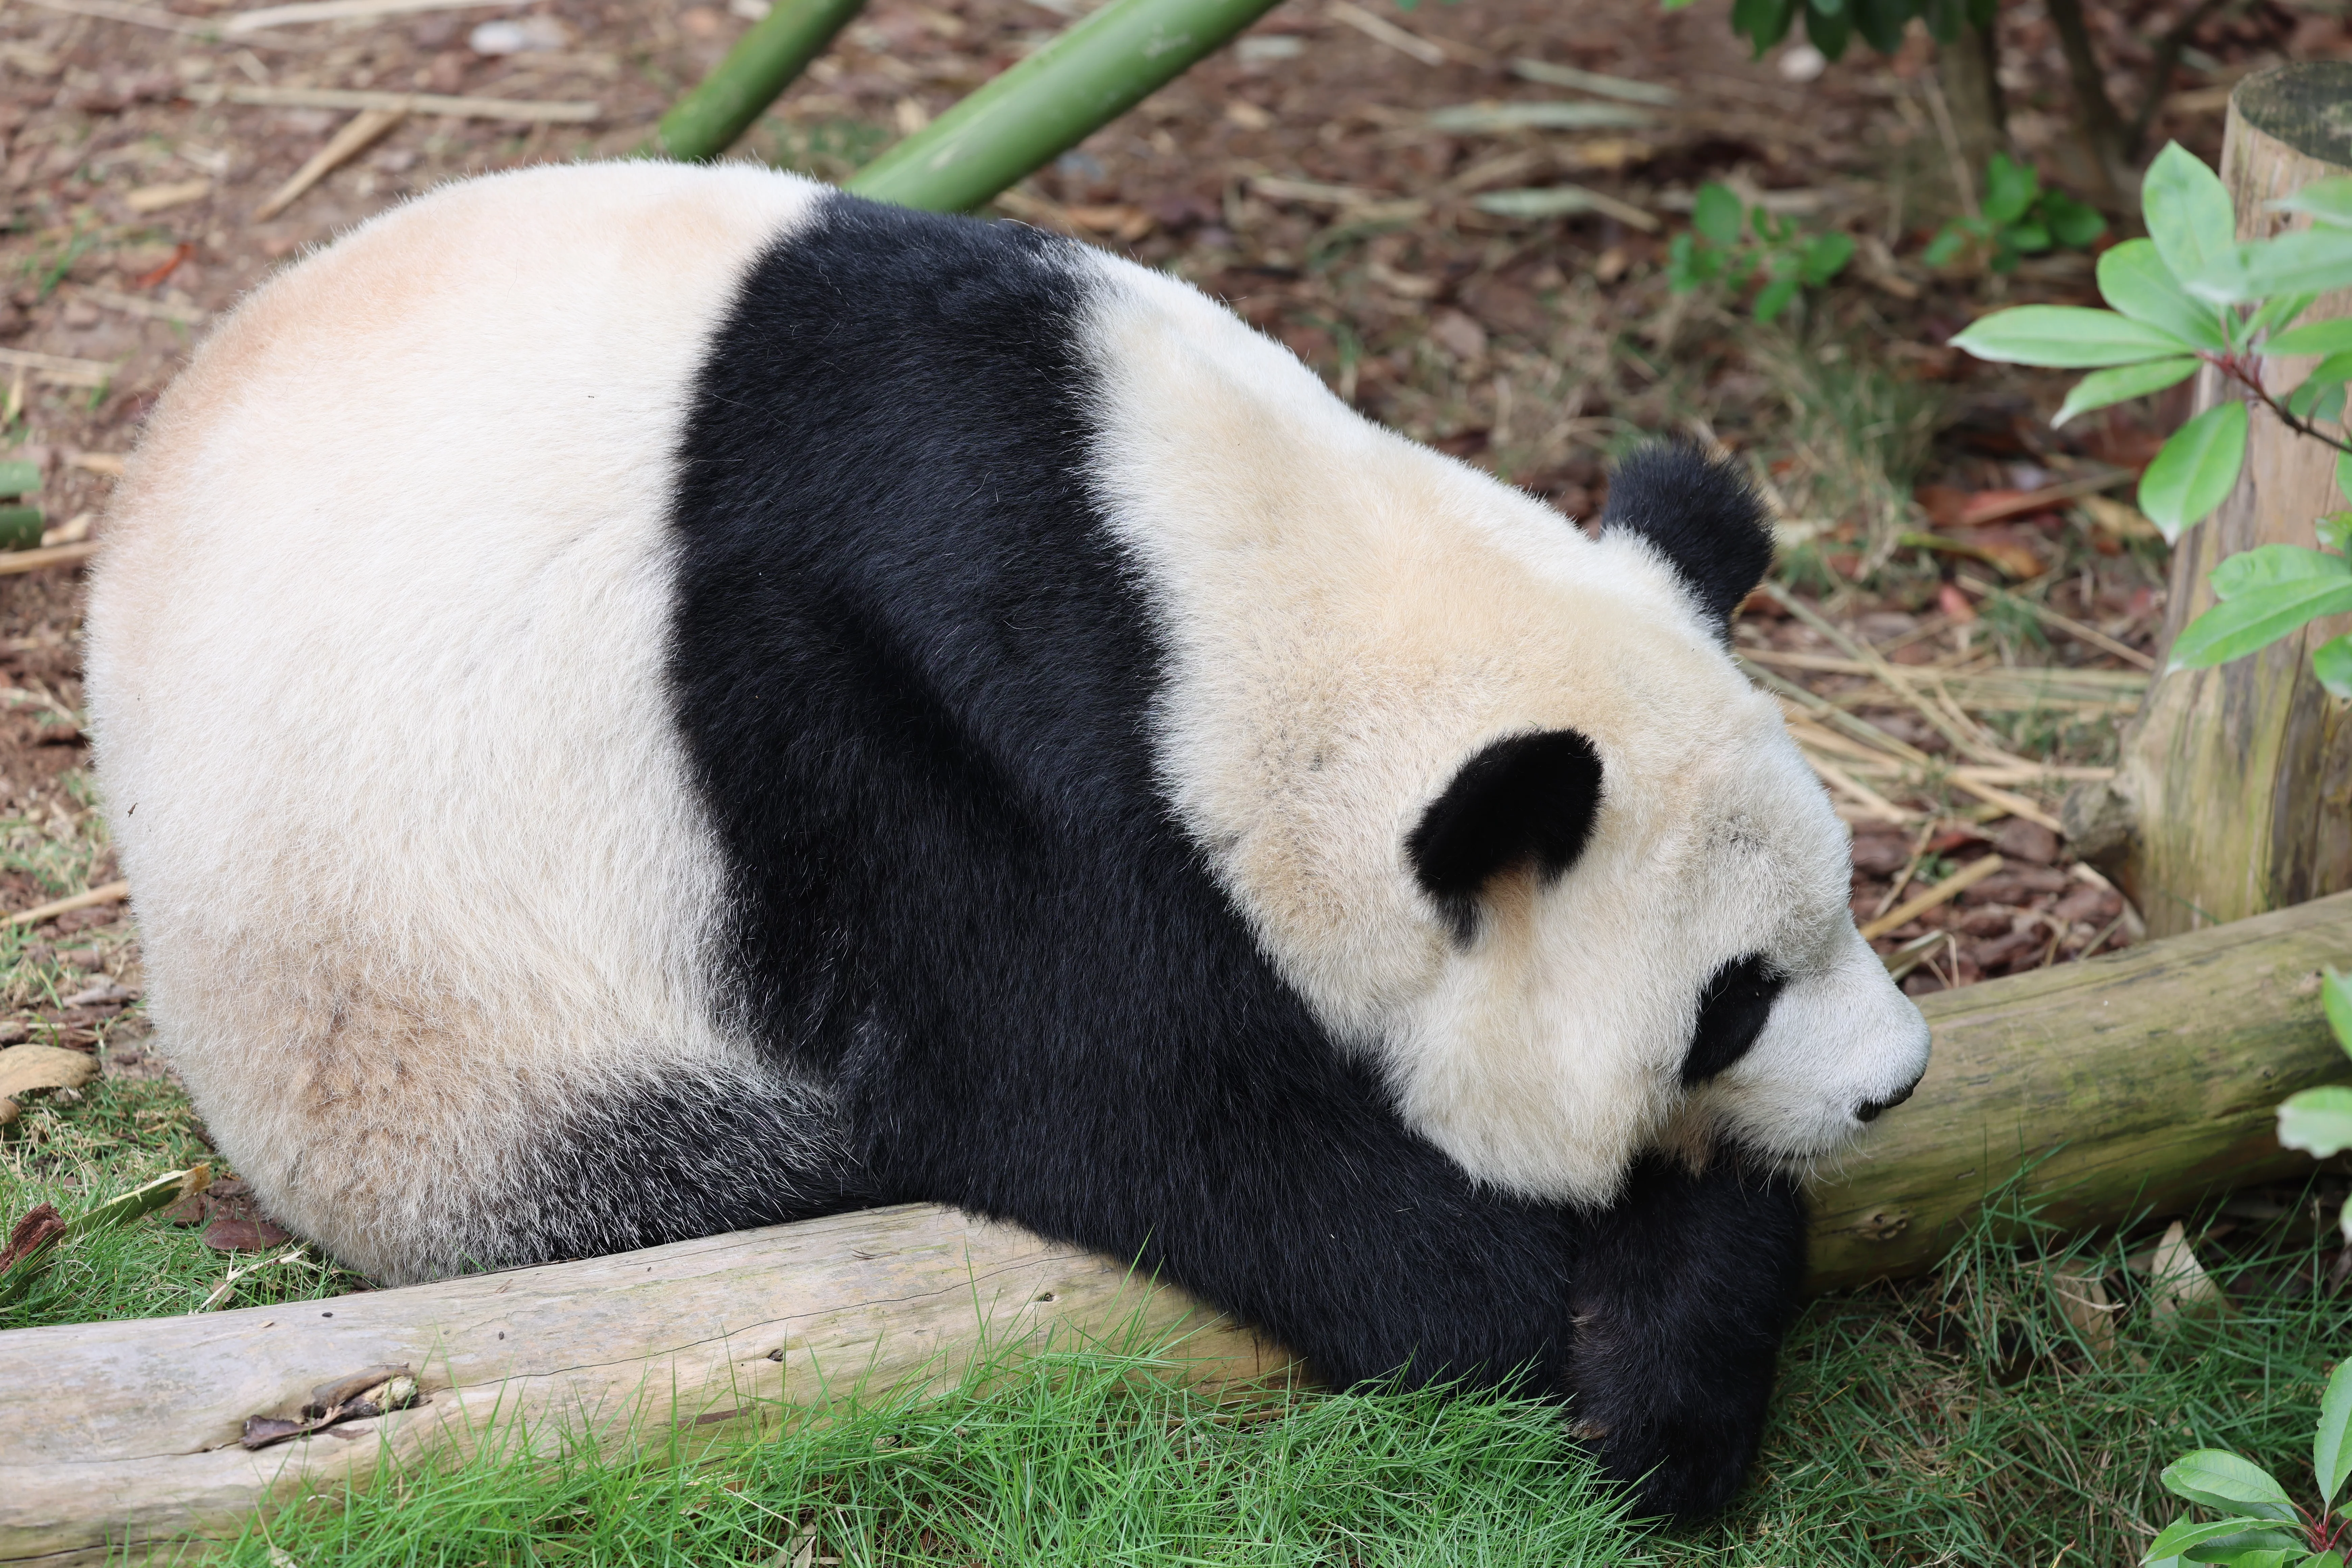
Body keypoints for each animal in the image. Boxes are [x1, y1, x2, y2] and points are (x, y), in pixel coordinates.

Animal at [86, 160, 1930, 1519]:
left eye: (1845, 897)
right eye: (1732, 999)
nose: (1894, 1082)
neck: (1216, 573)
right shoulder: (889, 706)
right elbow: (1120, 1100)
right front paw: (1636, 1317)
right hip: (430, 1036)